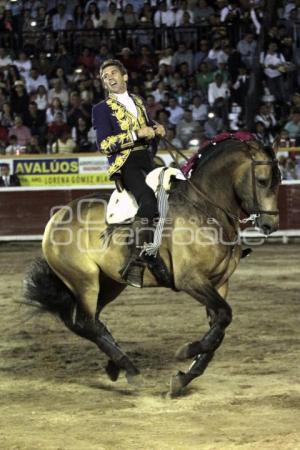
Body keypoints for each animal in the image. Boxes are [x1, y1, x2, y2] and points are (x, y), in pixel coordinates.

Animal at [24, 133, 282, 394]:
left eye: (278, 181)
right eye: (262, 181)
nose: (270, 224)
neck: (206, 208)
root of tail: (56, 218)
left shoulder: (220, 283)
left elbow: (219, 327)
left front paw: (183, 378)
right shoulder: (191, 280)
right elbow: (224, 317)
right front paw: (186, 351)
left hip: (109, 283)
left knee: (91, 321)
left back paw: (116, 365)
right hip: (84, 281)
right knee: (86, 323)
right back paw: (130, 370)